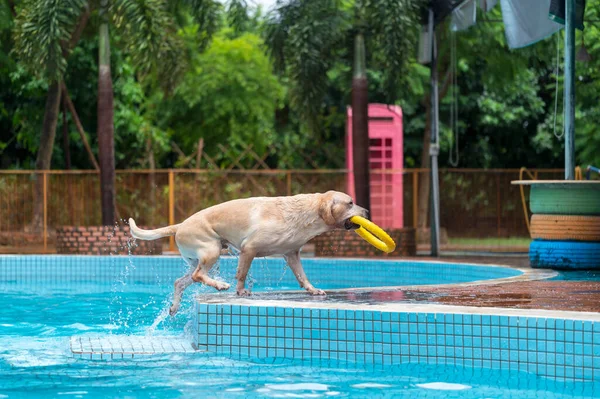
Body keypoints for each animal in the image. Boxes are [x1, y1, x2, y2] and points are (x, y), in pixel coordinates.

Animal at [129, 191, 368, 316]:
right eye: (350, 203)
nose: (366, 211)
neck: (306, 213)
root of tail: (179, 225)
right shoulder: (249, 249)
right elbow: (242, 274)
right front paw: (241, 291)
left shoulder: (292, 254)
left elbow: (302, 276)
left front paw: (313, 290)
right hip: (212, 249)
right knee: (198, 275)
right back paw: (220, 285)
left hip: (199, 258)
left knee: (181, 281)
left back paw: (175, 306)